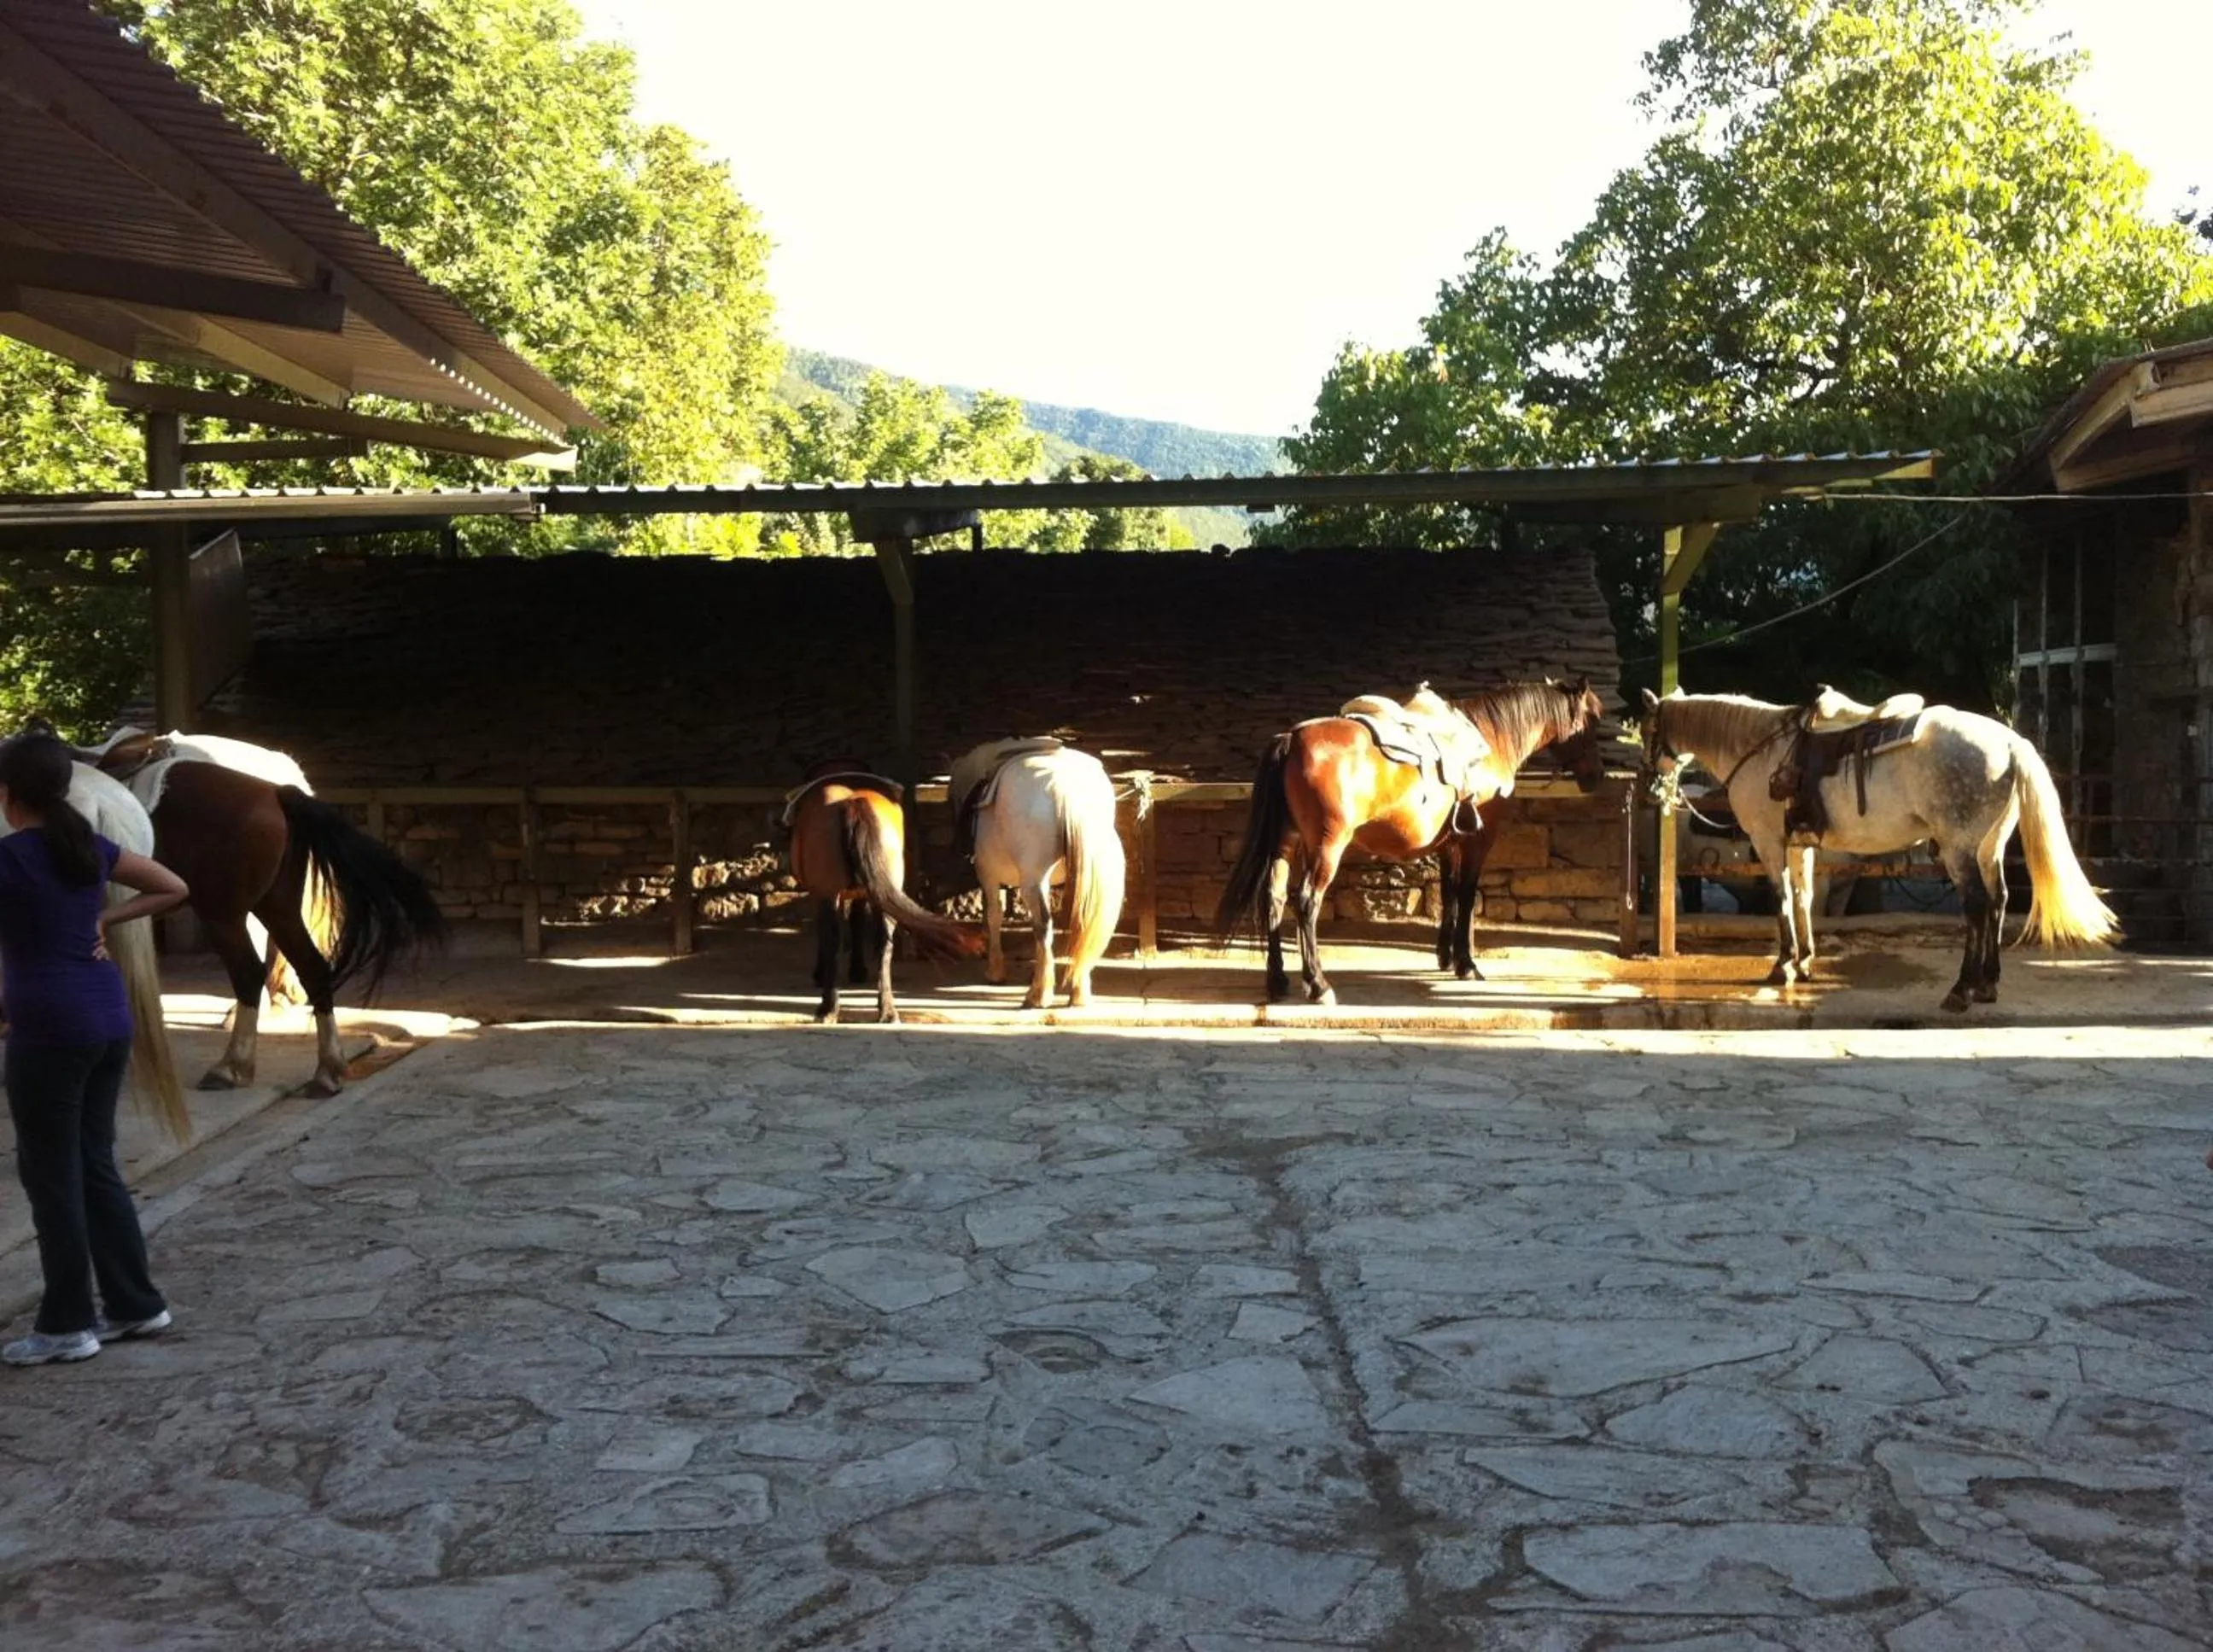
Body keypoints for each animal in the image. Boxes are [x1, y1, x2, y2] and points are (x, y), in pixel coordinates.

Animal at [122, 762, 446, 1094]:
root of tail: (276, 792)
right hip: (278, 908)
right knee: (312, 968)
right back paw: (327, 1071)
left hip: (224, 914)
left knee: (249, 973)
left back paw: (230, 1067)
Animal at [784, 759, 984, 1024]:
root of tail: (853, 802)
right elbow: (858, 923)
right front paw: (858, 970)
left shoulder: (822, 894)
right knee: (884, 944)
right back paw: (887, 1010)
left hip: (830, 893)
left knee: (833, 942)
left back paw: (829, 1008)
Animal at [949, 737, 1136, 1009]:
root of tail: (1066, 789)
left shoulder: (989, 876)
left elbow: (994, 916)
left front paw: (995, 971)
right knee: (1081, 923)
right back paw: (1078, 992)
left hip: (1032, 881)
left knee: (1043, 927)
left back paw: (1039, 995)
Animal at [1215, 678, 1610, 1003]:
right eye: (1592, 720)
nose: (1596, 777)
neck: (1491, 738)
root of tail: (1292, 739)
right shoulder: (1479, 840)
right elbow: (1467, 895)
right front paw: (1467, 964)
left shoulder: (1451, 842)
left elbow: (1449, 893)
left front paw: (1446, 957)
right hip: (1327, 847)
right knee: (1307, 902)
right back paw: (1318, 985)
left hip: (1285, 842)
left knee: (1274, 898)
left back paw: (1278, 980)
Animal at [1638, 688, 2116, 1011]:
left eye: (1647, 730)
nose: (1650, 782)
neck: (1760, 749)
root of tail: (2011, 743)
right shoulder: (1800, 846)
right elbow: (1804, 900)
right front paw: (1805, 964)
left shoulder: (1769, 842)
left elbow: (1782, 901)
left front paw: (1783, 965)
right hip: (1989, 846)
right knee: (1997, 901)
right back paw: (1987, 984)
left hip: (1959, 848)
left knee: (1978, 907)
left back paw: (1962, 990)